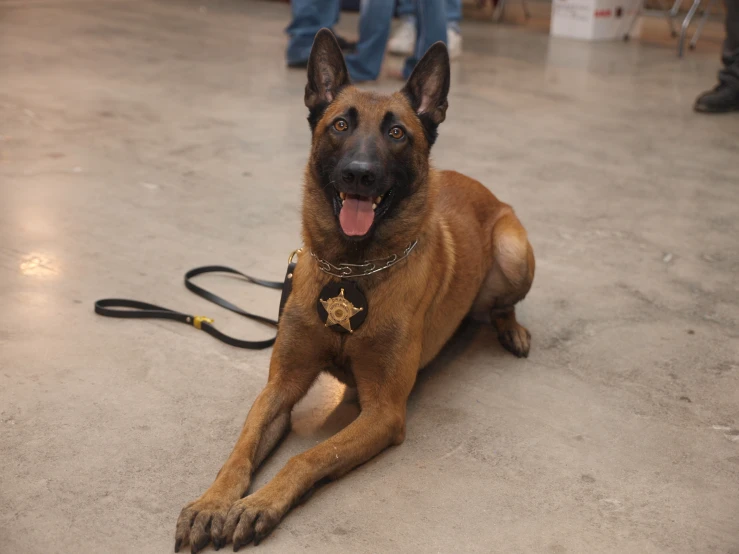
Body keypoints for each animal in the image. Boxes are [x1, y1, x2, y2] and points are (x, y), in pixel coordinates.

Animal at [175, 31, 532, 552]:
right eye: (340, 125)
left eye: (397, 133)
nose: (359, 174)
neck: (352, 268)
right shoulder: (280, 387)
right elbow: (240, 451)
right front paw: (212, 503)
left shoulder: (383, 412)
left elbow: (309, 457)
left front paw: (260, 504)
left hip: (514, 251)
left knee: (505, 304)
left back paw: (512, 330)